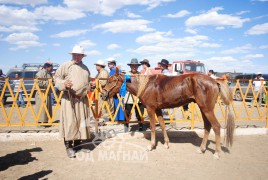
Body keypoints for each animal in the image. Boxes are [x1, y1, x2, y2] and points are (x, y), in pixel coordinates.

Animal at [101, 68, 234, 159]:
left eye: (112, 80)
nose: (103, 94)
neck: (146, 86)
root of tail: (215, 81)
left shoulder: (150, 109)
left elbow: (153, 127)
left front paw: (151, 146)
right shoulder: (158, 109)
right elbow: (162, 125)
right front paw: (166, 143)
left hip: (207, 109)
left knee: (216, 126)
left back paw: (216, 153)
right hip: (203, 109)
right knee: (207, 126)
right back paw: (201, 149)